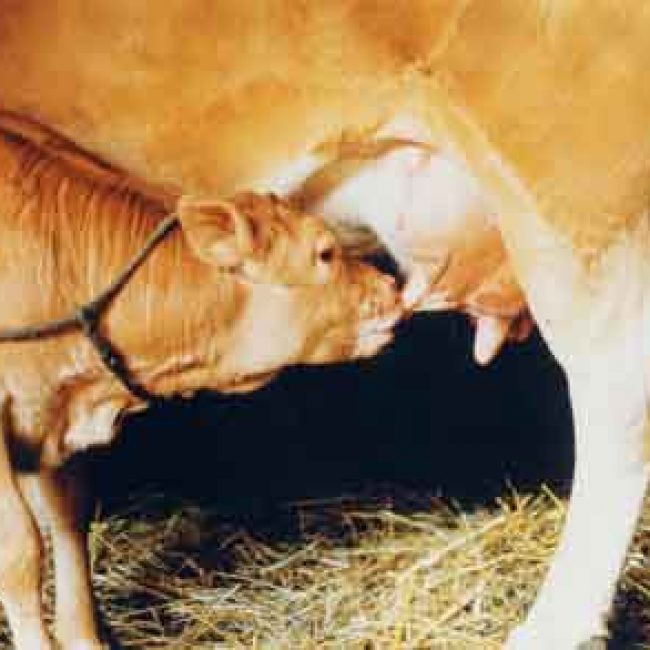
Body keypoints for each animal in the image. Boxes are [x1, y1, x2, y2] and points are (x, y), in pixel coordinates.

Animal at [0, 123, 404, 648]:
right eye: (324, 252)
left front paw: (83, 636)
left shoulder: (51, 411)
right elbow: (20, 552)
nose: (392, 289)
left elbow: (68, 520)